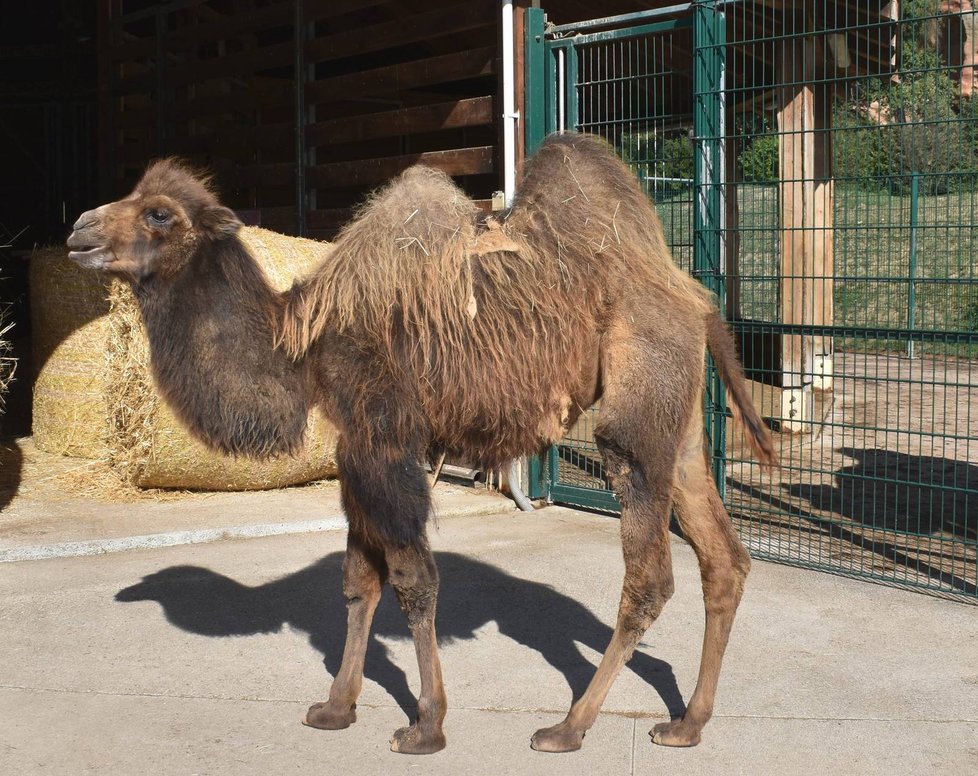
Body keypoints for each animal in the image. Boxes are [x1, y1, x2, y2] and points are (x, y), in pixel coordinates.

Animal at [66, 135, 772, 756]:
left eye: (159, 213)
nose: (78, 229)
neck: (302, 342)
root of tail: (696, 298)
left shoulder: (384, 440)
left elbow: (413, 580)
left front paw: (426, 725)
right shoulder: (355, 448)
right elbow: (358, 581)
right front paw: (336, 706)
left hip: (637, 400)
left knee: (649, 568)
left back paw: (568, 727)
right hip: (681, 423)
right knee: (723, 557)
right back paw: (688, 723)